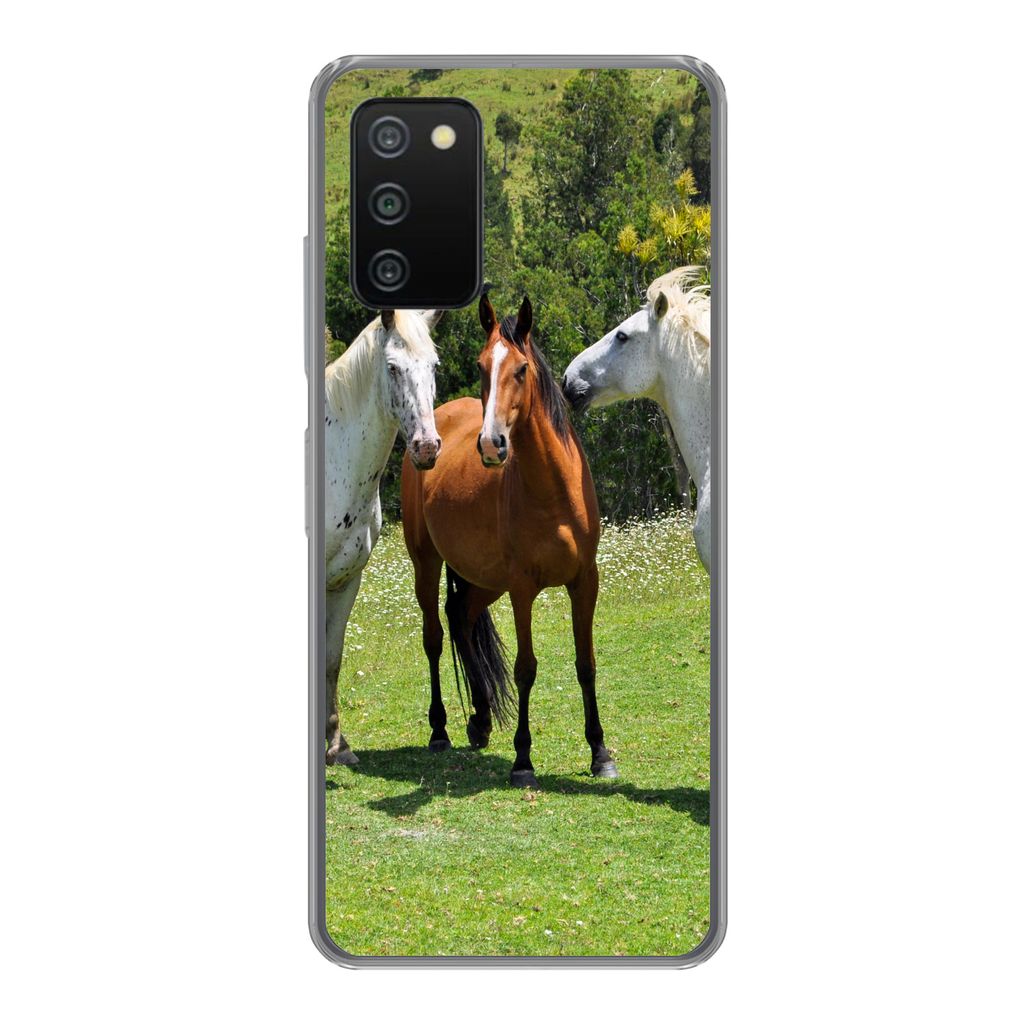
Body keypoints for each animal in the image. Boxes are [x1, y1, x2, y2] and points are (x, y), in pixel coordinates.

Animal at [325, 309, 443, 765]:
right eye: (392, 368)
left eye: (434, 366)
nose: (427, 447)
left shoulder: (346, 580)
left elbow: (331, 658)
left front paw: (336, 745)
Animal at [401, 294, 617, 788]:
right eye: (481, 366)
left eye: (520, 369)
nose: (491, 444)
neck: (553, 490)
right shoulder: (522, 589)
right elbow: (525, 669)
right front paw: (523, 760)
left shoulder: (585, 582)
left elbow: (586, 664)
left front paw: (600, 753)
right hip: (427, 563)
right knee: (434, 637)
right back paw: (439, 730)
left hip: (484, 579)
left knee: (461, 617)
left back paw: (480, 720)